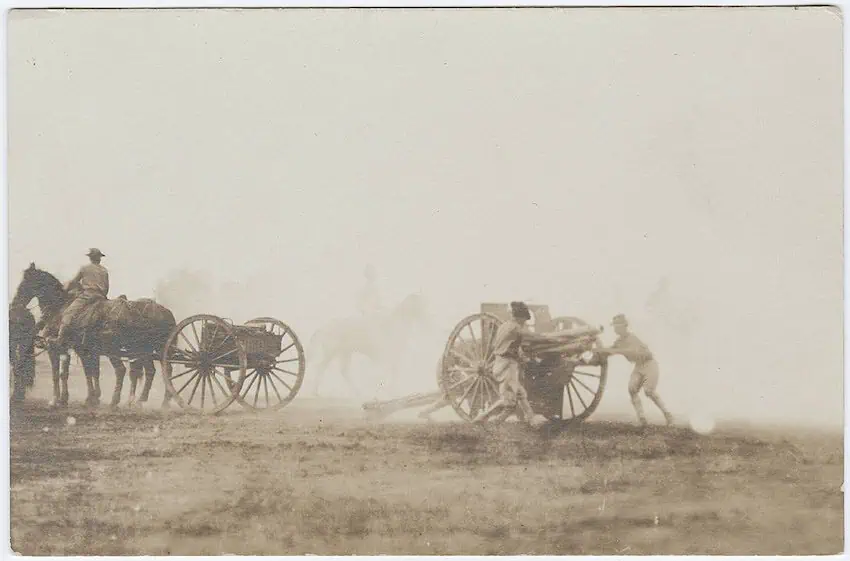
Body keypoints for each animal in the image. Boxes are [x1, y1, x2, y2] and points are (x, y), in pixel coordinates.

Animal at [13, 260, 178, 410]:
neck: (59, 308)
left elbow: (59, 374)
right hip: (146, 351)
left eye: (26, 281)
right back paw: (150, 401)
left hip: (123, 351)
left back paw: (119, 401)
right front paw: (88, 398)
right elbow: (88, 372)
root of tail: (166, 312)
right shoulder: (83, 350)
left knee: (125, 370)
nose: (15, 302)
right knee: (153, 371)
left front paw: (56, 400)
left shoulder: (56, 348)